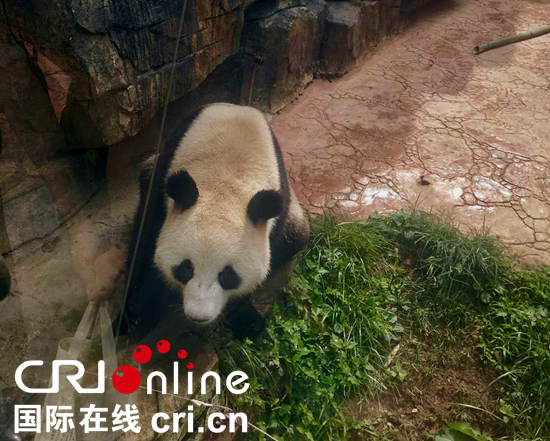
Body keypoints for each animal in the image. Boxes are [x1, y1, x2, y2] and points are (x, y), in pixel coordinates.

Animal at [122, 103, 308, 340]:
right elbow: (148, 249)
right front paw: (140, 315)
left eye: (227, 276)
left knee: (298, 236)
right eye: (186, 269)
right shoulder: (163, 190)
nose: (198, 316)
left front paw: (247, 321)